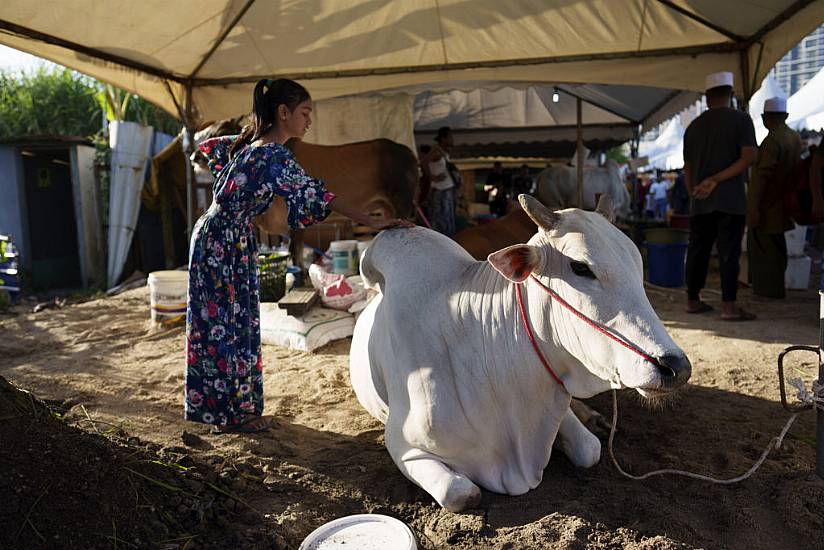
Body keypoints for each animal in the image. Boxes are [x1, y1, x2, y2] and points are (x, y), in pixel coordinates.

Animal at [348, 195, 688, 512]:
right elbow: (462, 493)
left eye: (638, 264)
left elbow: (589, 449)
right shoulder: (402, 444)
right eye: (581, 267)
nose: (676, 367)